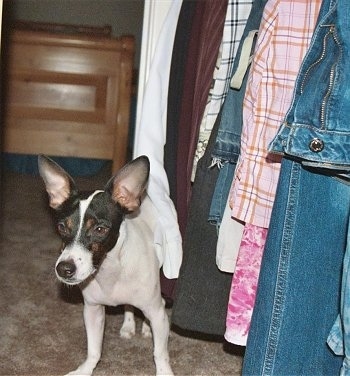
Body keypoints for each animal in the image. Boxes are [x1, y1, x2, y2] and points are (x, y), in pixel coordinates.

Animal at [38, 154, 174, 374]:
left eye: (100, 229)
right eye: (61, 227)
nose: (64, 269)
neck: (110, 269)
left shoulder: (158, 314)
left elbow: (160, 354)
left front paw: (164, 371)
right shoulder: (92, 310)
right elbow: (94, 351)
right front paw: (85, 369)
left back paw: (146, 326)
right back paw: (128, 324)